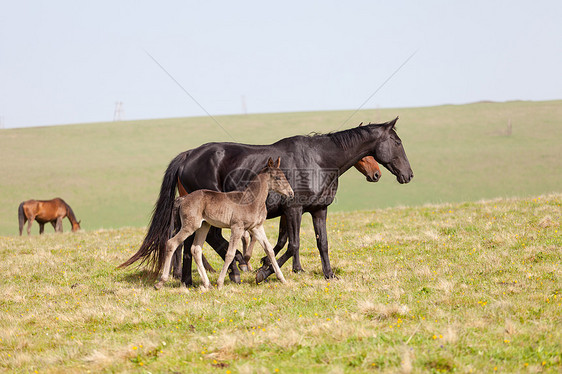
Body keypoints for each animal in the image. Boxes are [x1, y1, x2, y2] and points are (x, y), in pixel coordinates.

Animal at [154, 157, 294, 290]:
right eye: (277, 177)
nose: (291, 193)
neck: (251, 200)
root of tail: (183, 199)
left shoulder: (256, 227)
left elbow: (269, 249)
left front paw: (282, 279)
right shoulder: (237, 227)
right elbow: (230, 253)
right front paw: (220, 283)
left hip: (203, 226)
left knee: (195, 249)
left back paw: (207, 284)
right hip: (190, 226)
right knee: (172, 243)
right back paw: (160, 282)